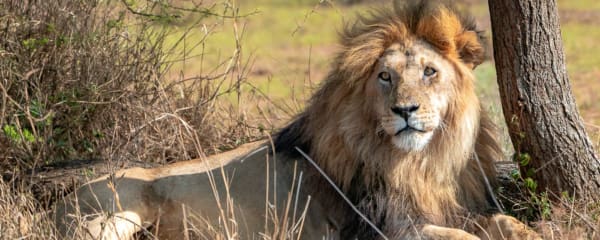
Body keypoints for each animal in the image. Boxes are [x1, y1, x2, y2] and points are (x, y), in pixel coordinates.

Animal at [57, 0, 544, 239]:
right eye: (384, 76)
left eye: (429, 72)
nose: (405, 110)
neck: (419, 163)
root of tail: (64, 194)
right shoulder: (374, 229)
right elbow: (463, 239)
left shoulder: (452, 206)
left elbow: (503, 224)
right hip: (113, 215)